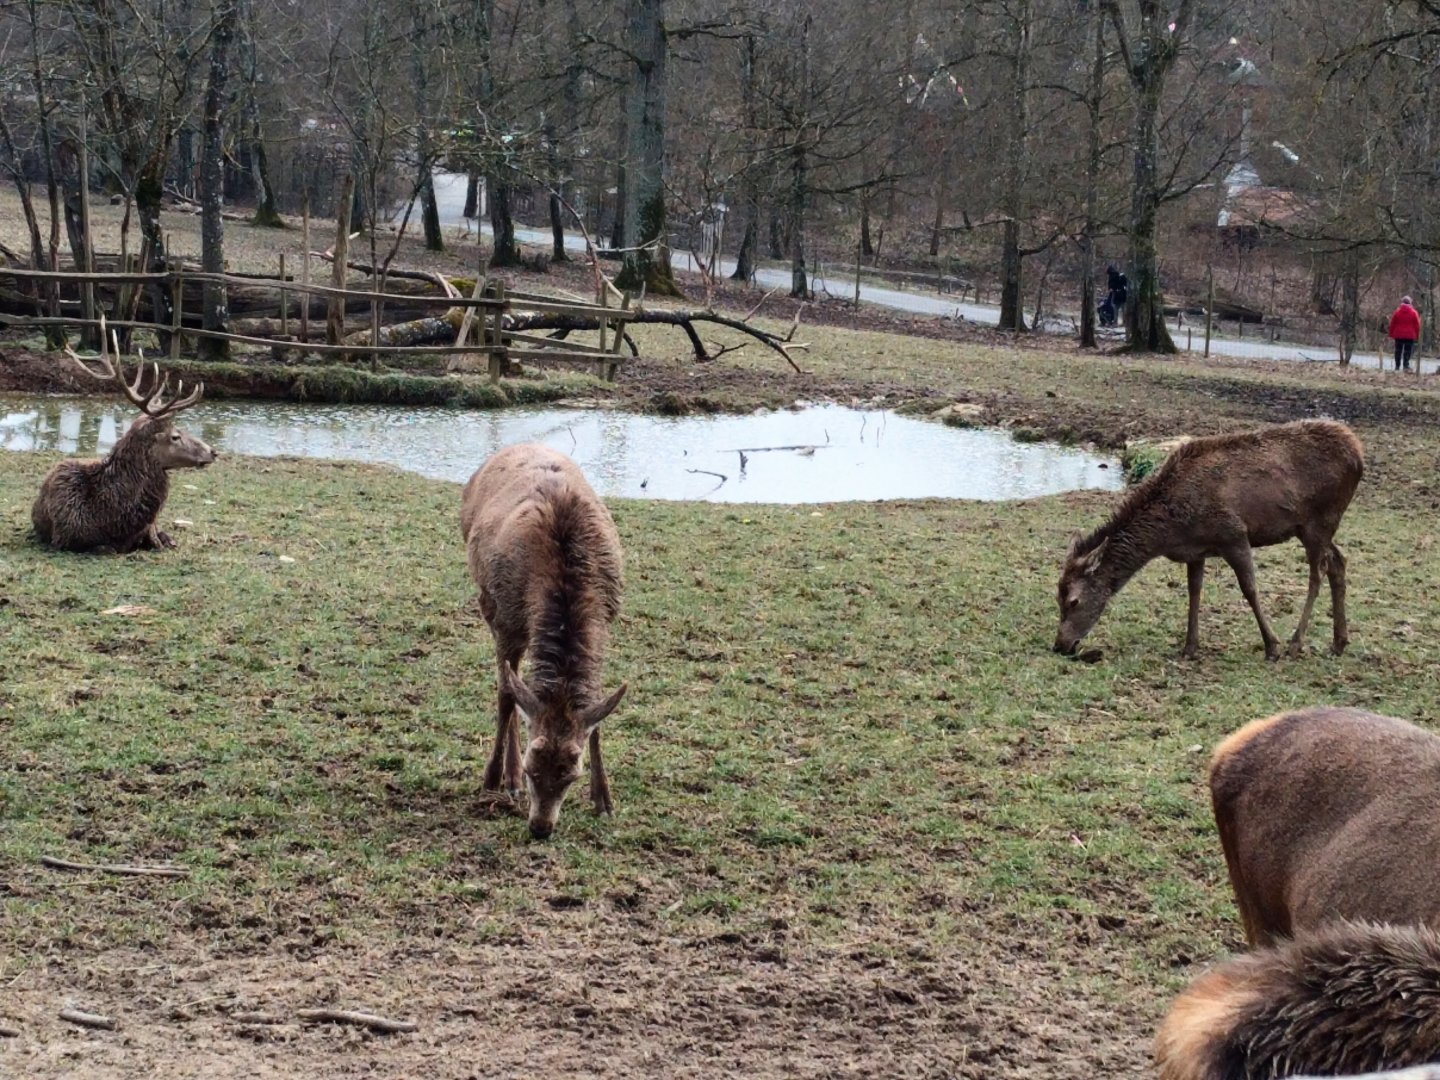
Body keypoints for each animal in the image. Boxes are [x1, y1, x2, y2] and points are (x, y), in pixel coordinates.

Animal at [32, 316, 216, 553]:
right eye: (175, 436)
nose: (212, 451)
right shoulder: (66, 538)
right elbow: (105, 548)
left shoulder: (151, 529)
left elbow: (166, 540)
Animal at [461, 443, 627, 840]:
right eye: (531, 767)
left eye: (572, 773)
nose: (540, 827)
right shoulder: (506, 620)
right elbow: (507, 696)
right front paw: (494, 779)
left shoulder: (606, 624)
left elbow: (595, 711)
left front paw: (604, 799)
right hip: (487, 603)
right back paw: (506, 781)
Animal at [1054, 419, 1363, 660]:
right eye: (1057, 597)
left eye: (1073, 601)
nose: (1060, 645)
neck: (1170, 530)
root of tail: (1359, 454)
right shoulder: (1196, 551)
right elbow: (1194, 592)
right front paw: (1190, 647)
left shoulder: (1234, 533)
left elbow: (1250, 589)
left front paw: (1271, 645)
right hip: (1312, 526)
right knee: (1338, 561)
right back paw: (1338, 643)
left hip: (1320, 519)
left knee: (1318, 572)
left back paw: (1295, 644)